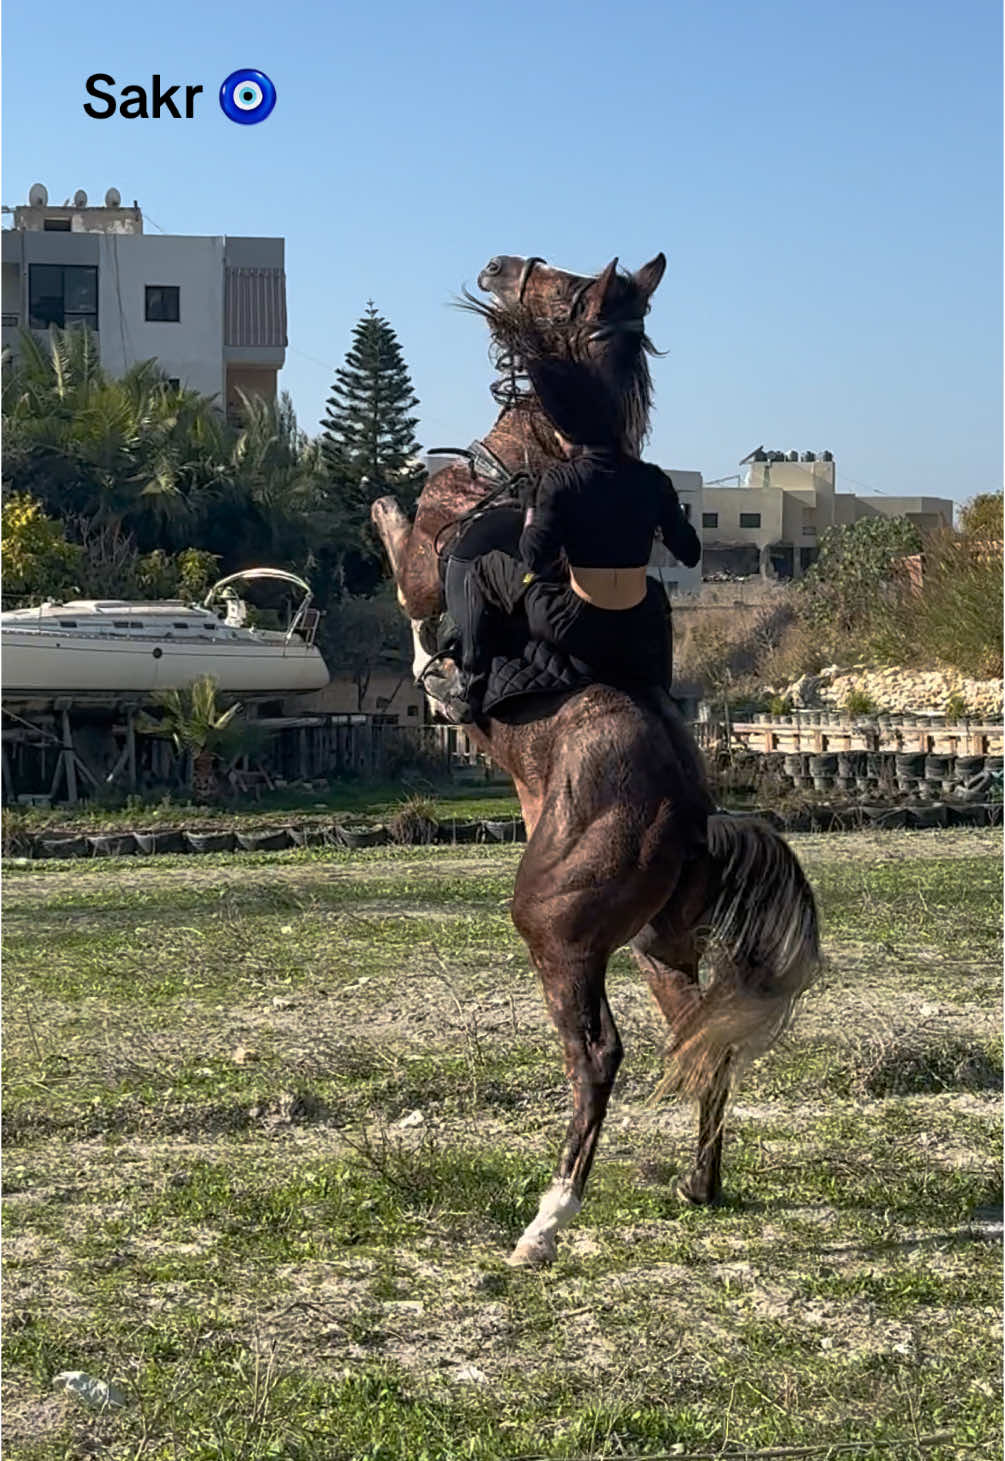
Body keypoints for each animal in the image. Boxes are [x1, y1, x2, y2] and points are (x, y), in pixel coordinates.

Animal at [371, 255, 820, 1267]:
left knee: (598, 1054)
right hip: (660, 944)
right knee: (701, 1041)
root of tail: (692, 818)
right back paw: (699, 1182)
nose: (496, 264)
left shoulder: (428, 561)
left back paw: (548, 1217)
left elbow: (400, 551)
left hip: (556, 931)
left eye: (551, 282)